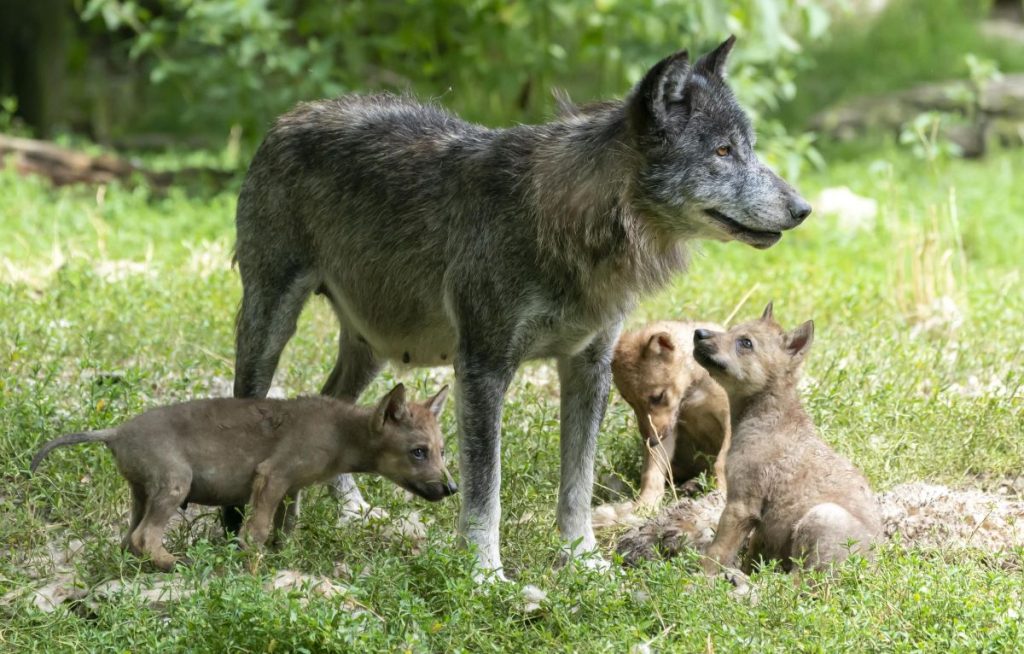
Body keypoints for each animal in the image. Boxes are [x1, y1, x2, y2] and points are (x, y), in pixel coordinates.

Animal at [31, 384, 454, 571]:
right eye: (418, 451)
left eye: (442, 449)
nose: (452, 488)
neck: (341, 432)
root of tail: (115, 432)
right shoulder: (271, 476)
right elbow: (257, 532)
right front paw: (253, 564)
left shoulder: (289, 489)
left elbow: (285, 528)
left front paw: (285, 557)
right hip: (174, 483)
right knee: (144, 537)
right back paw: (177, 562)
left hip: (141, 492)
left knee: (127, 539)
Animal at [230, 36, 811, 577]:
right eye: (722, 152)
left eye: (748, 147)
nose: (803, 208)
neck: (570, 221)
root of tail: (290, 115)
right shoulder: (484, 368)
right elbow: (485, 492)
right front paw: (485, 575)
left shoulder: (588, 369)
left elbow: (577, 485)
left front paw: (583, 560)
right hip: (272, 322)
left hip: (376, 343)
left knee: (335, 401)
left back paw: (350, 512)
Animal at [692, 304, 880, 579]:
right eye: (731, 329)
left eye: (745, 342)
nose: (699, 332)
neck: (766, 416)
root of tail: (872, 570)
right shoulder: (763, 523)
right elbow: (752, 553)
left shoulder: (741, 503)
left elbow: (717, 552)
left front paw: (698, 580)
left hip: (821, 518)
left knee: (799, 580)